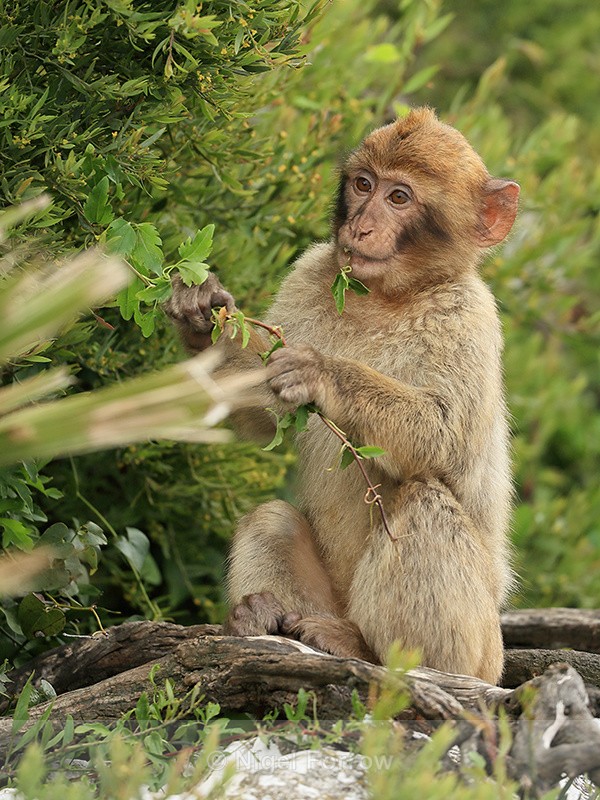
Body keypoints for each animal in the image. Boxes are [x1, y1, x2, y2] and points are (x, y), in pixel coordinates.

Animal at [164, 107, 519, 684]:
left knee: (424, 501)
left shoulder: (469, 317)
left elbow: (449, 440)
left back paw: (369, 652)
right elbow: (265, 416)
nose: (360, 227)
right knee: (274, 519)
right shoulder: (311, 273)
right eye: (363, 185)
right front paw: (201, 319)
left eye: (399, 197)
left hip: (481, 655)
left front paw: (322, 373)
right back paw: (261, 618)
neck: (387, 297)